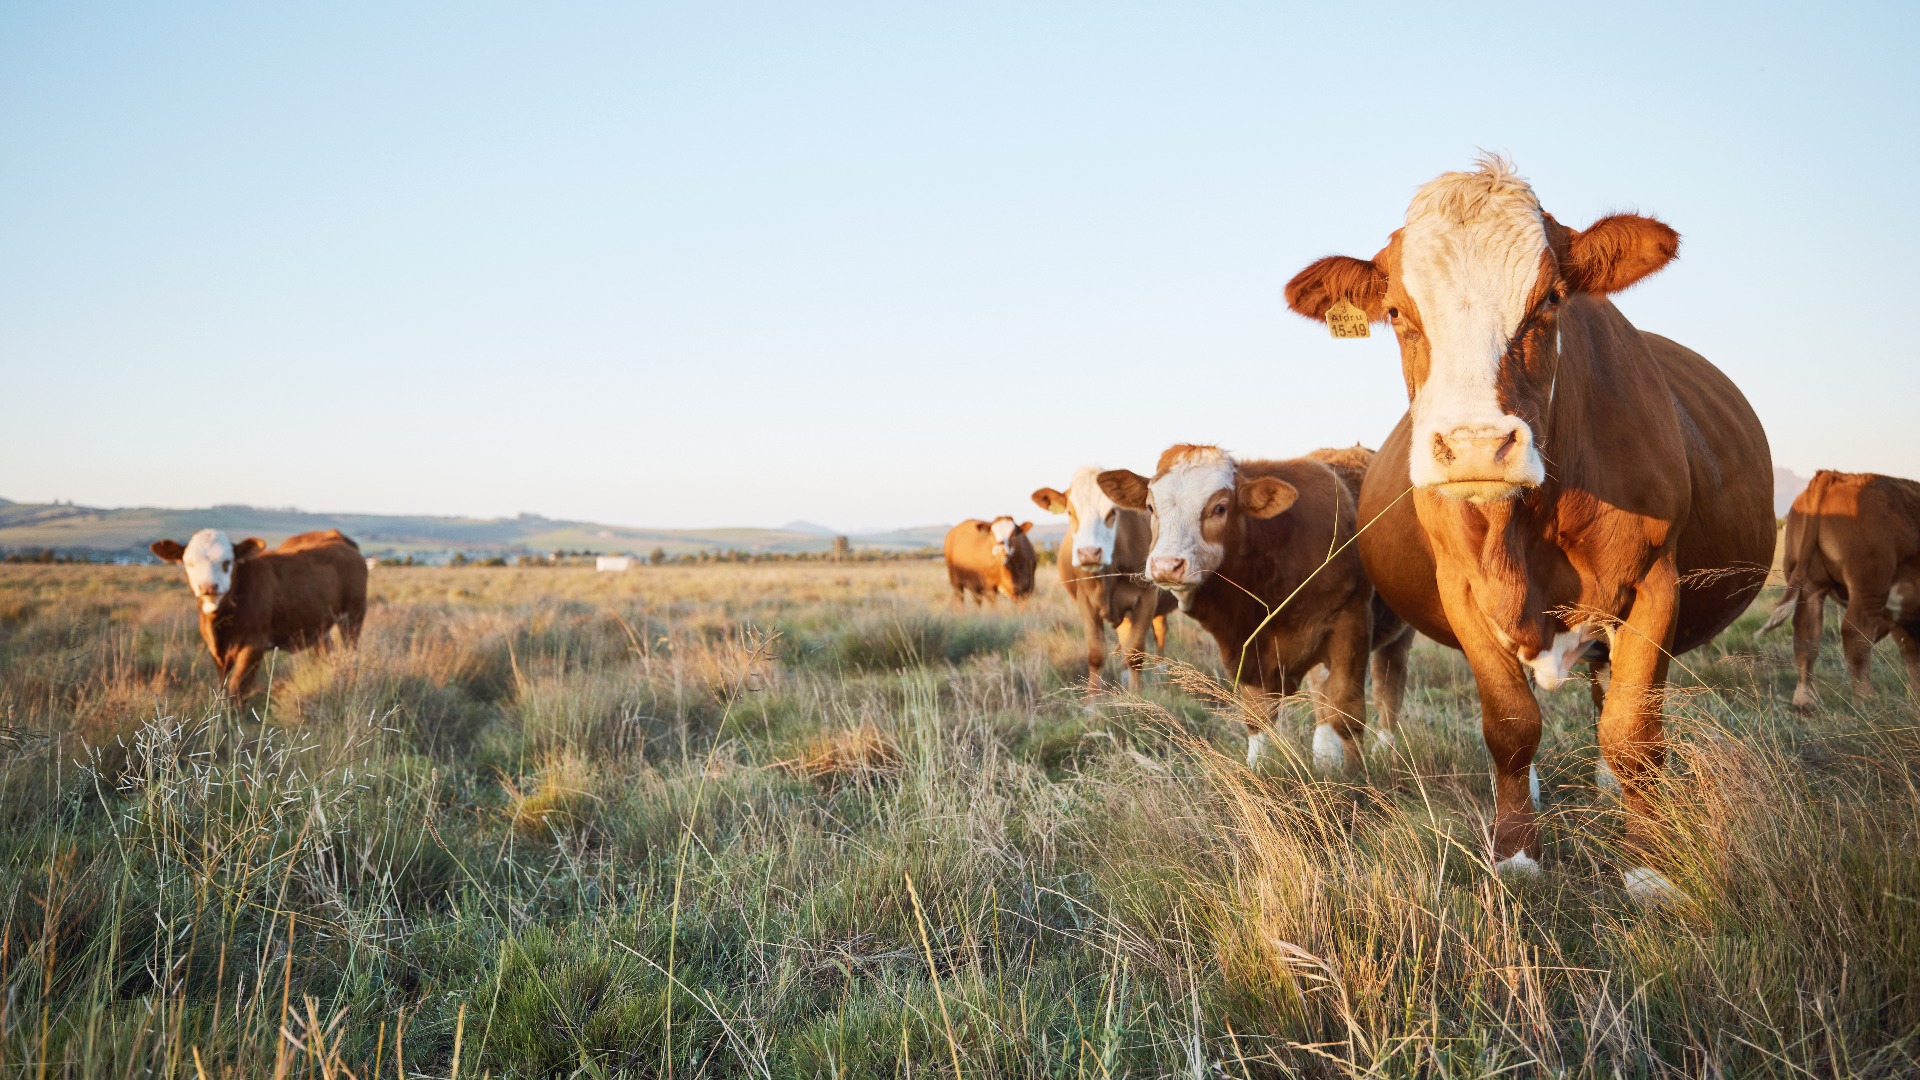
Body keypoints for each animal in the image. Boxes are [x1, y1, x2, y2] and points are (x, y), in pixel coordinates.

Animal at [150, 529, 369, 702]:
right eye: (189, 563)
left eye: (227, 562)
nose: (208, 587)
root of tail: (338, 537)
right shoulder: (216, 652)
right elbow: (222, 686)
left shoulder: (253, 647)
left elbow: (236, 689)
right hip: (318, 625)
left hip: (353, 616)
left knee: (351, 649)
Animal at [1031, 468, 1177, 688]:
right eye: (1070, 512)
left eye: (1112, 513)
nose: (1089, 553)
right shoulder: (1085, 601)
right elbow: (1096, 654)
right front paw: (1093, 697)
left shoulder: (1147, 598)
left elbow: (1135, 654)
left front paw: (1135, 694)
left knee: (1159, 631)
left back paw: (1160, 671)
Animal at [1098, 444, 1414, 769]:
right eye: (1150, 507)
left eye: (1220, 507)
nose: (1166, 565)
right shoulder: (1247, 650)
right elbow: (1258, 718)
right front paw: (1257, 769)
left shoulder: (1351, 627)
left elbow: (1346, 713)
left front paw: (1355, 776)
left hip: (1399, 633)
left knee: (1388, 685)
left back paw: (1384, 749)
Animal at [1284, 156, 1772, 903]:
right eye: (1396, 312)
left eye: (1549, 301)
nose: (1476, 445)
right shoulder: (1463, 594)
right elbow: (1510, 725)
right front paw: (1516, 852)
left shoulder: (1654, 582)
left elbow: (1634, 730)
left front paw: (1650, 867)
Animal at [1760, 470, 1920, 708]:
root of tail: (1834, 475)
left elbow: (1911, 653)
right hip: (1869, 586)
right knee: (1855, 634)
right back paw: (1866, 699)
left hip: (1811, 586)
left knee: (1806, 635)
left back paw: (1805, 701)